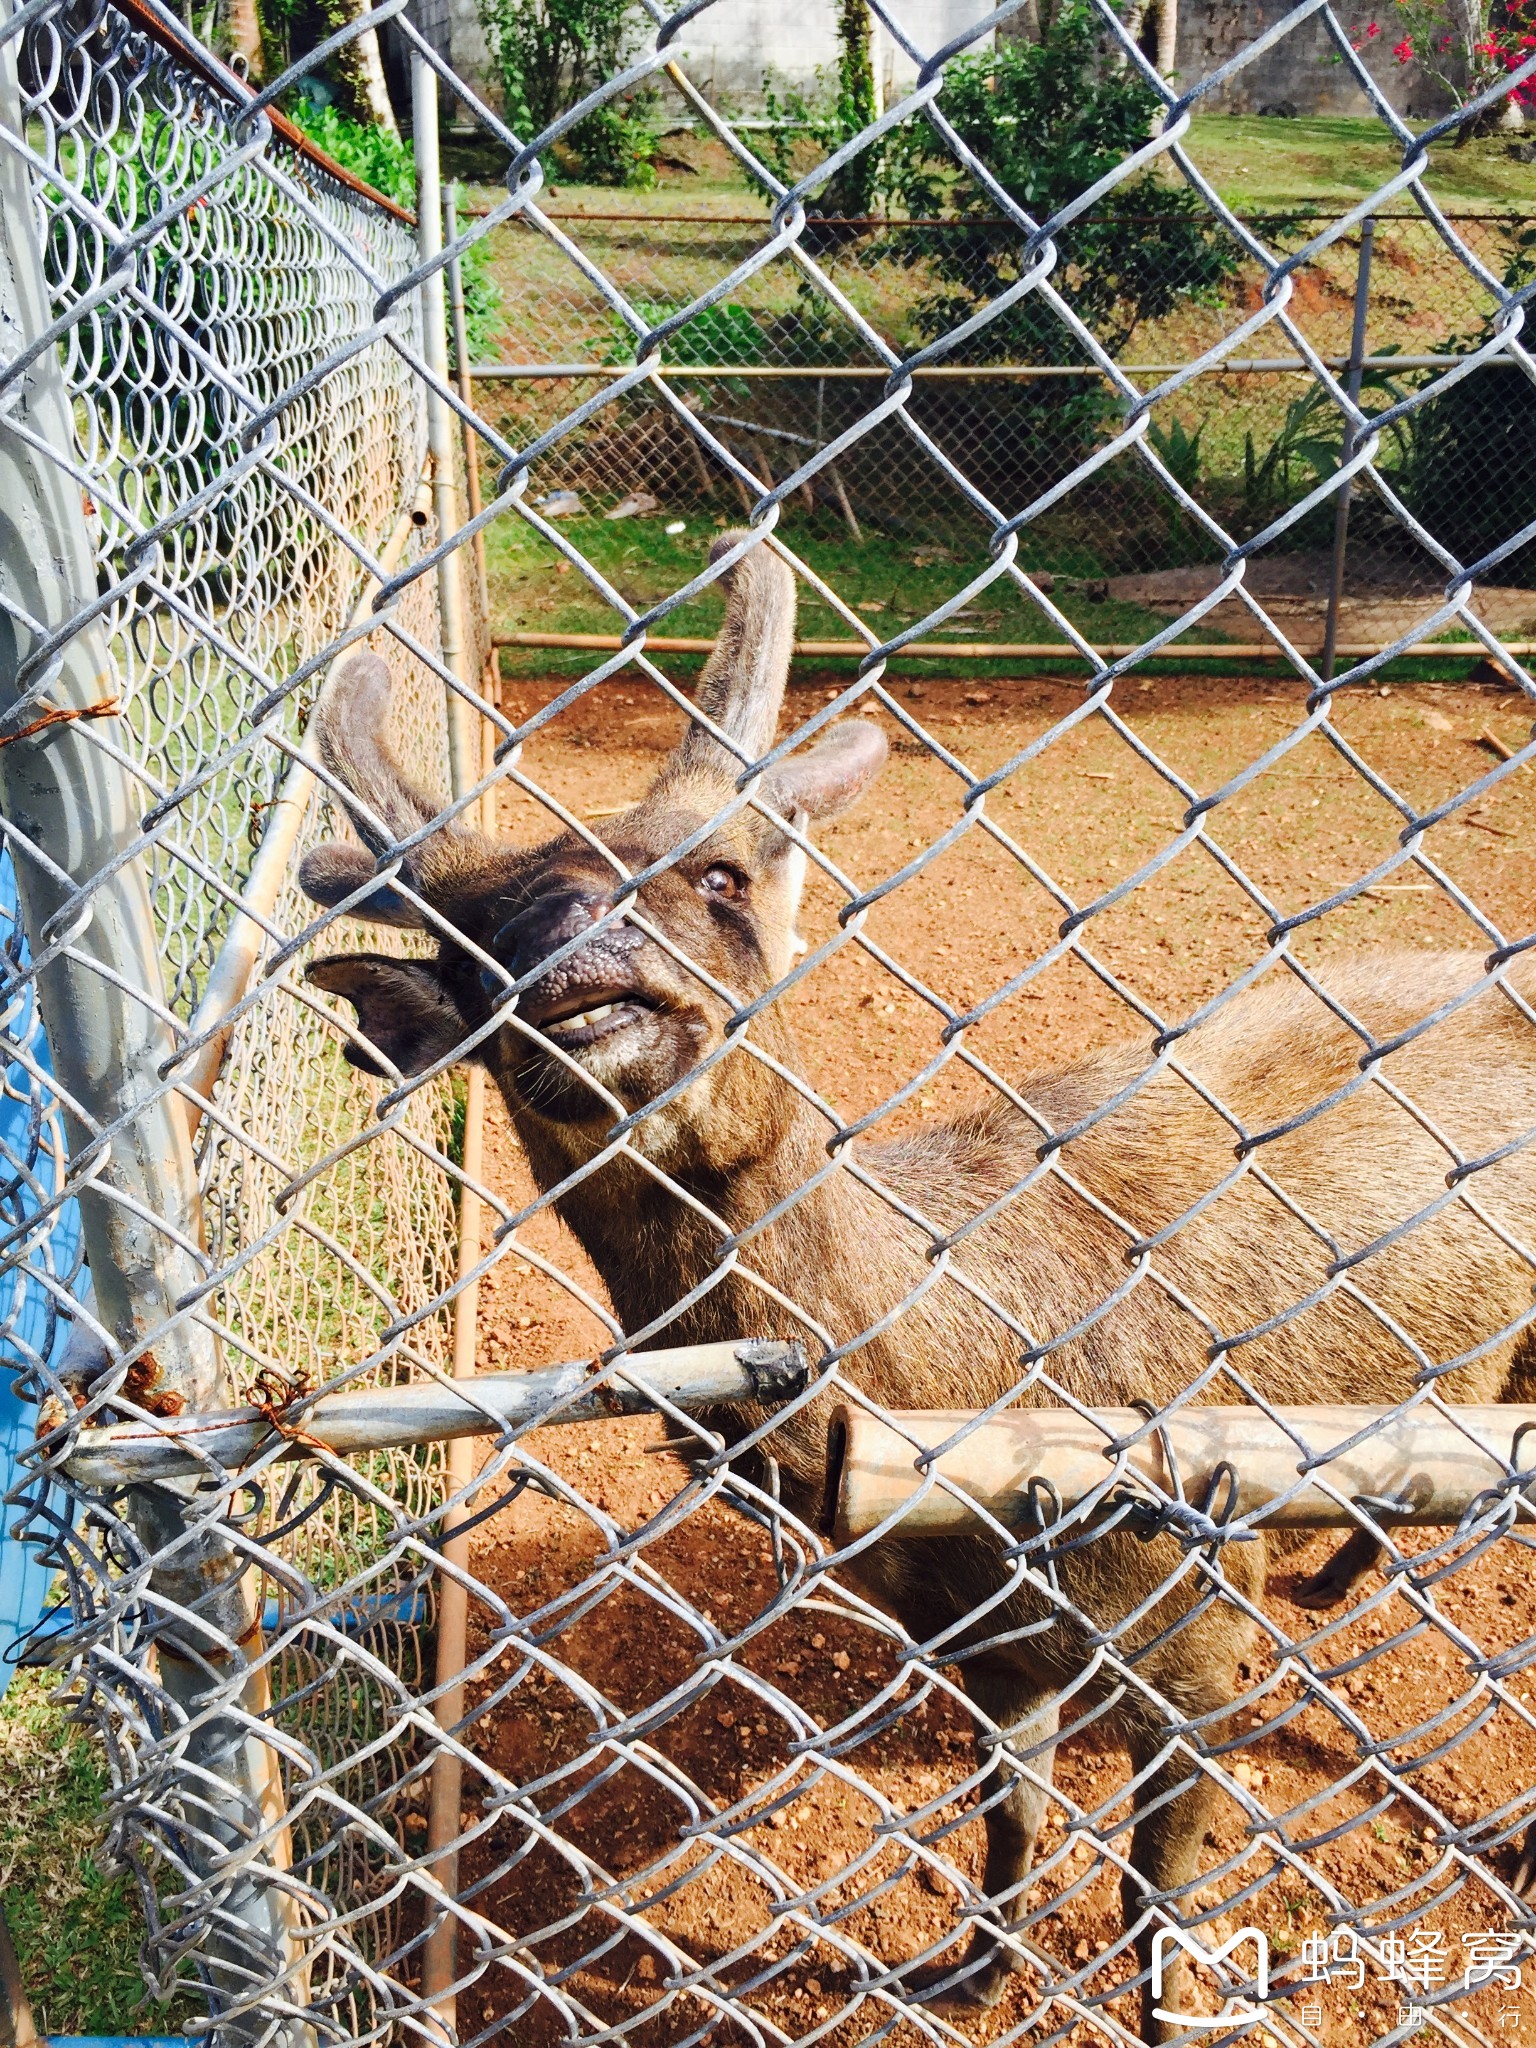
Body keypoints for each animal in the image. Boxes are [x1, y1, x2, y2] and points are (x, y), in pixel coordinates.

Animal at [296, 528, 1536, 2031]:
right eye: (471, 955)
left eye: (722, 878)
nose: (583, 966)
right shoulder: (980, 1650)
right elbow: (1010, 1825)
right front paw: (968, 1969)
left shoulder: (1197, 1614)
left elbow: (1156, 1894)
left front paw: (1157, 2003)